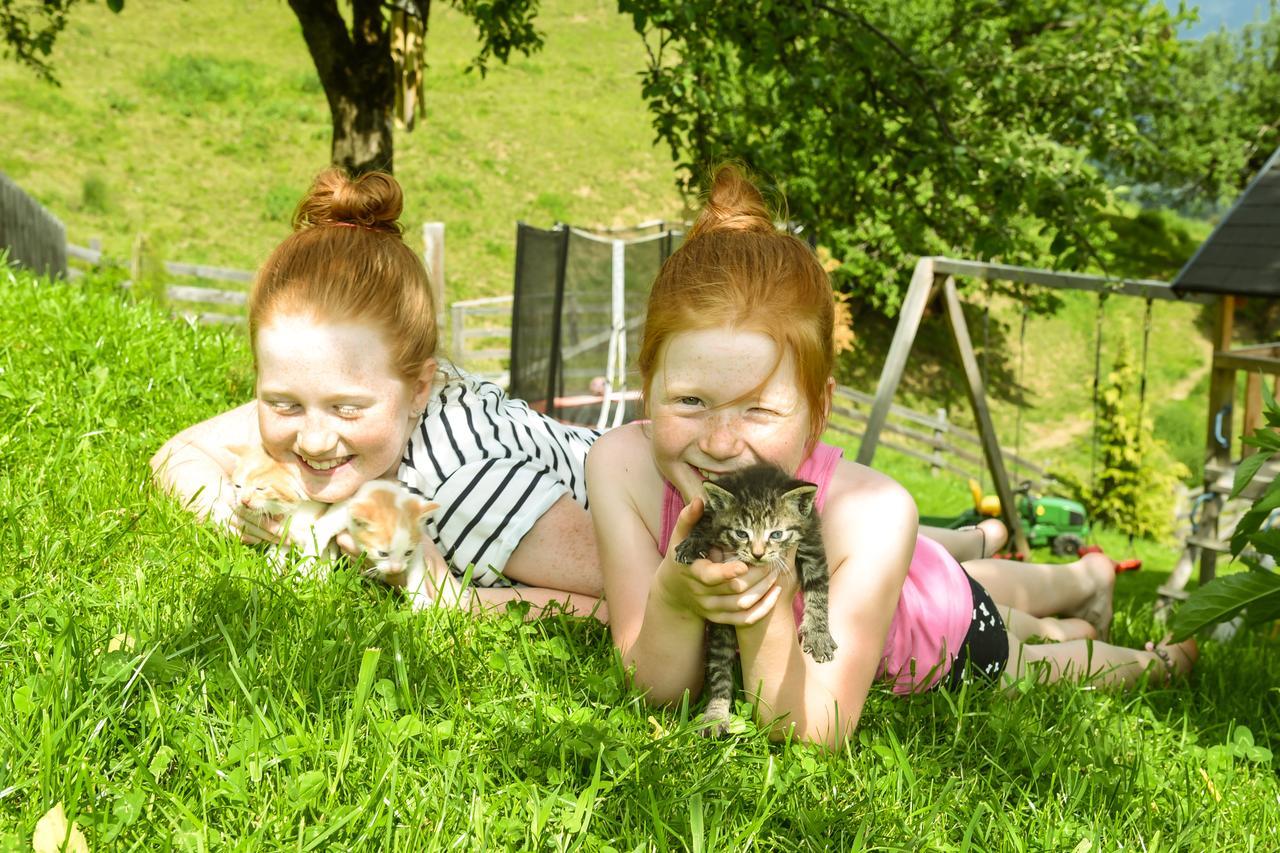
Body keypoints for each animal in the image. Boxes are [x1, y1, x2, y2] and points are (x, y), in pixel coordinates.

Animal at [675, 461, 834, 732]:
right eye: (742, 533)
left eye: (776, 534)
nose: (758, 554)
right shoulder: (710, 513)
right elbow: (704, 523)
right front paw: (692, 543)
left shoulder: (812, 541)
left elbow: (818, 592)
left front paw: (819, 634)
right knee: (720, 670)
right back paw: (716, 714)